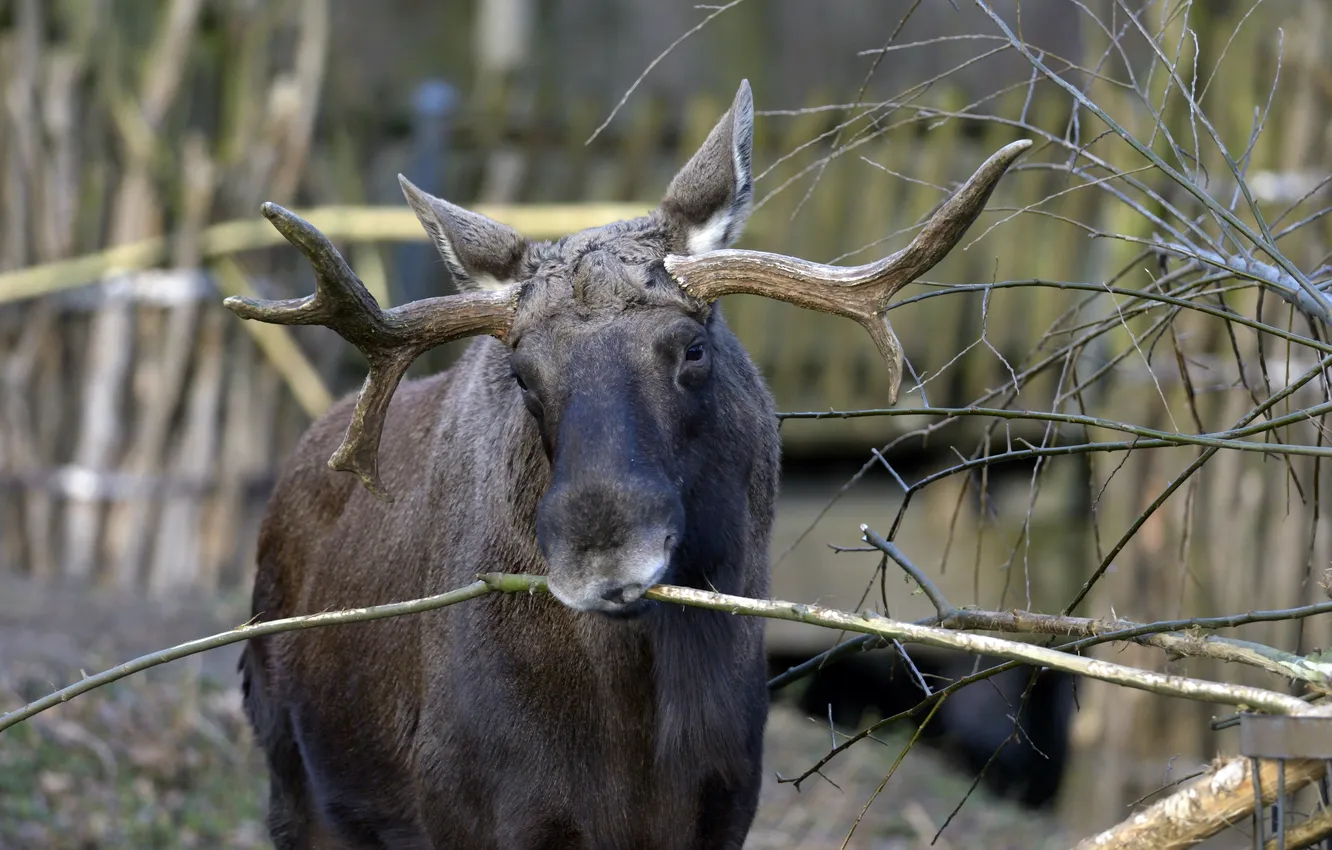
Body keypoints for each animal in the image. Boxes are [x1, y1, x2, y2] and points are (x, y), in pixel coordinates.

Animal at [228, 80, 1029, 849]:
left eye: (693, 347)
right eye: (523, 374)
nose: (604, 558)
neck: (634, 738)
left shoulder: (725, 807)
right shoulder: (477, 811)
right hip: (291, 774)